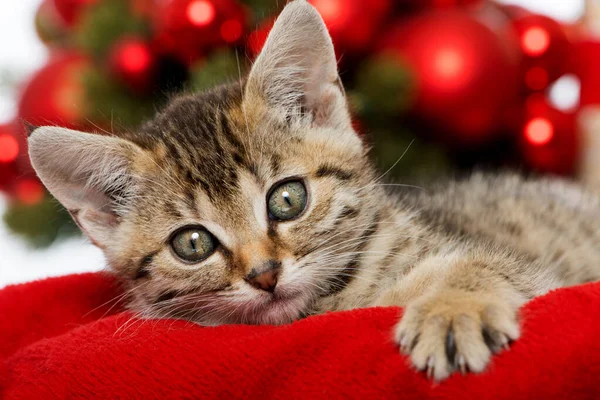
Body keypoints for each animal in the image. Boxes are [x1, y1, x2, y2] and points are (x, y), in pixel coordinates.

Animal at [28, 0, 600, 382]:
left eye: (287, 199)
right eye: (192, 244)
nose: (264, 275)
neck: (337, 302)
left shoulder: (527, 270)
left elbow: (487, 265)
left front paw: (455, 309)